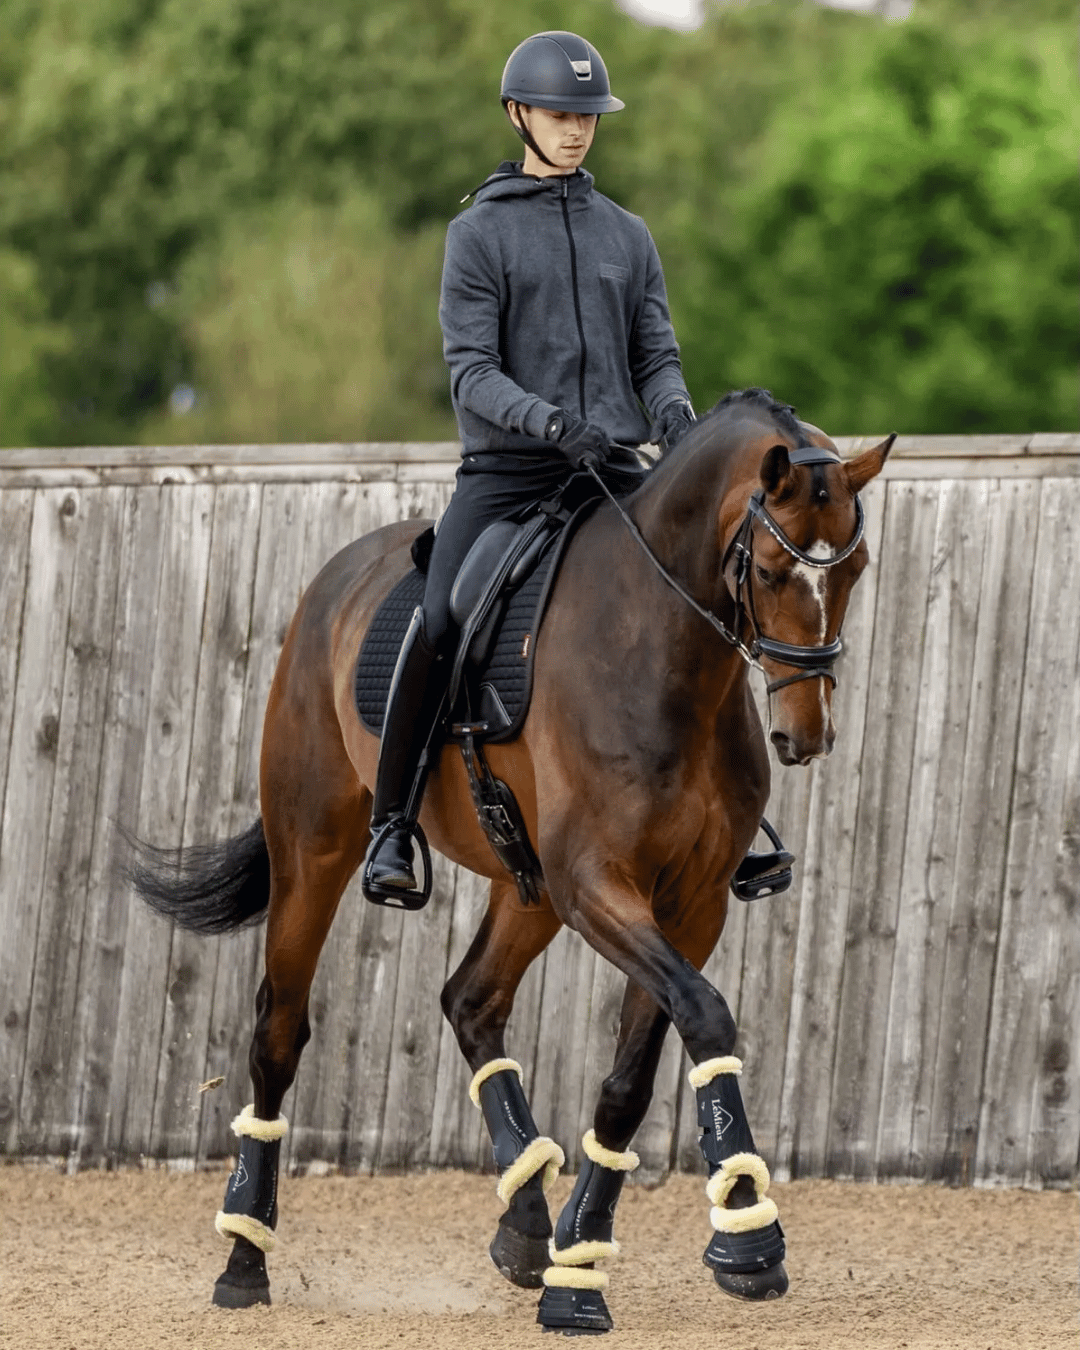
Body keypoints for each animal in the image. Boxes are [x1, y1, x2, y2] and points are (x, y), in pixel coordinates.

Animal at [132, 388, 893, 1335]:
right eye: (770, 571)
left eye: (854, 570)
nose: (806, 735)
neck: (661, 651)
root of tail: (337, 580)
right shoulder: (597, 885)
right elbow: (707, 1016)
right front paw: (747, 1235)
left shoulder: (690, 903)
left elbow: (635, 1073)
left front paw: (581, 1263)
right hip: (317, 848)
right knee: (279, 1029)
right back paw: (244, 1257)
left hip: (525, 887)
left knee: (471, 1000)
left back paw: (527, 1225)